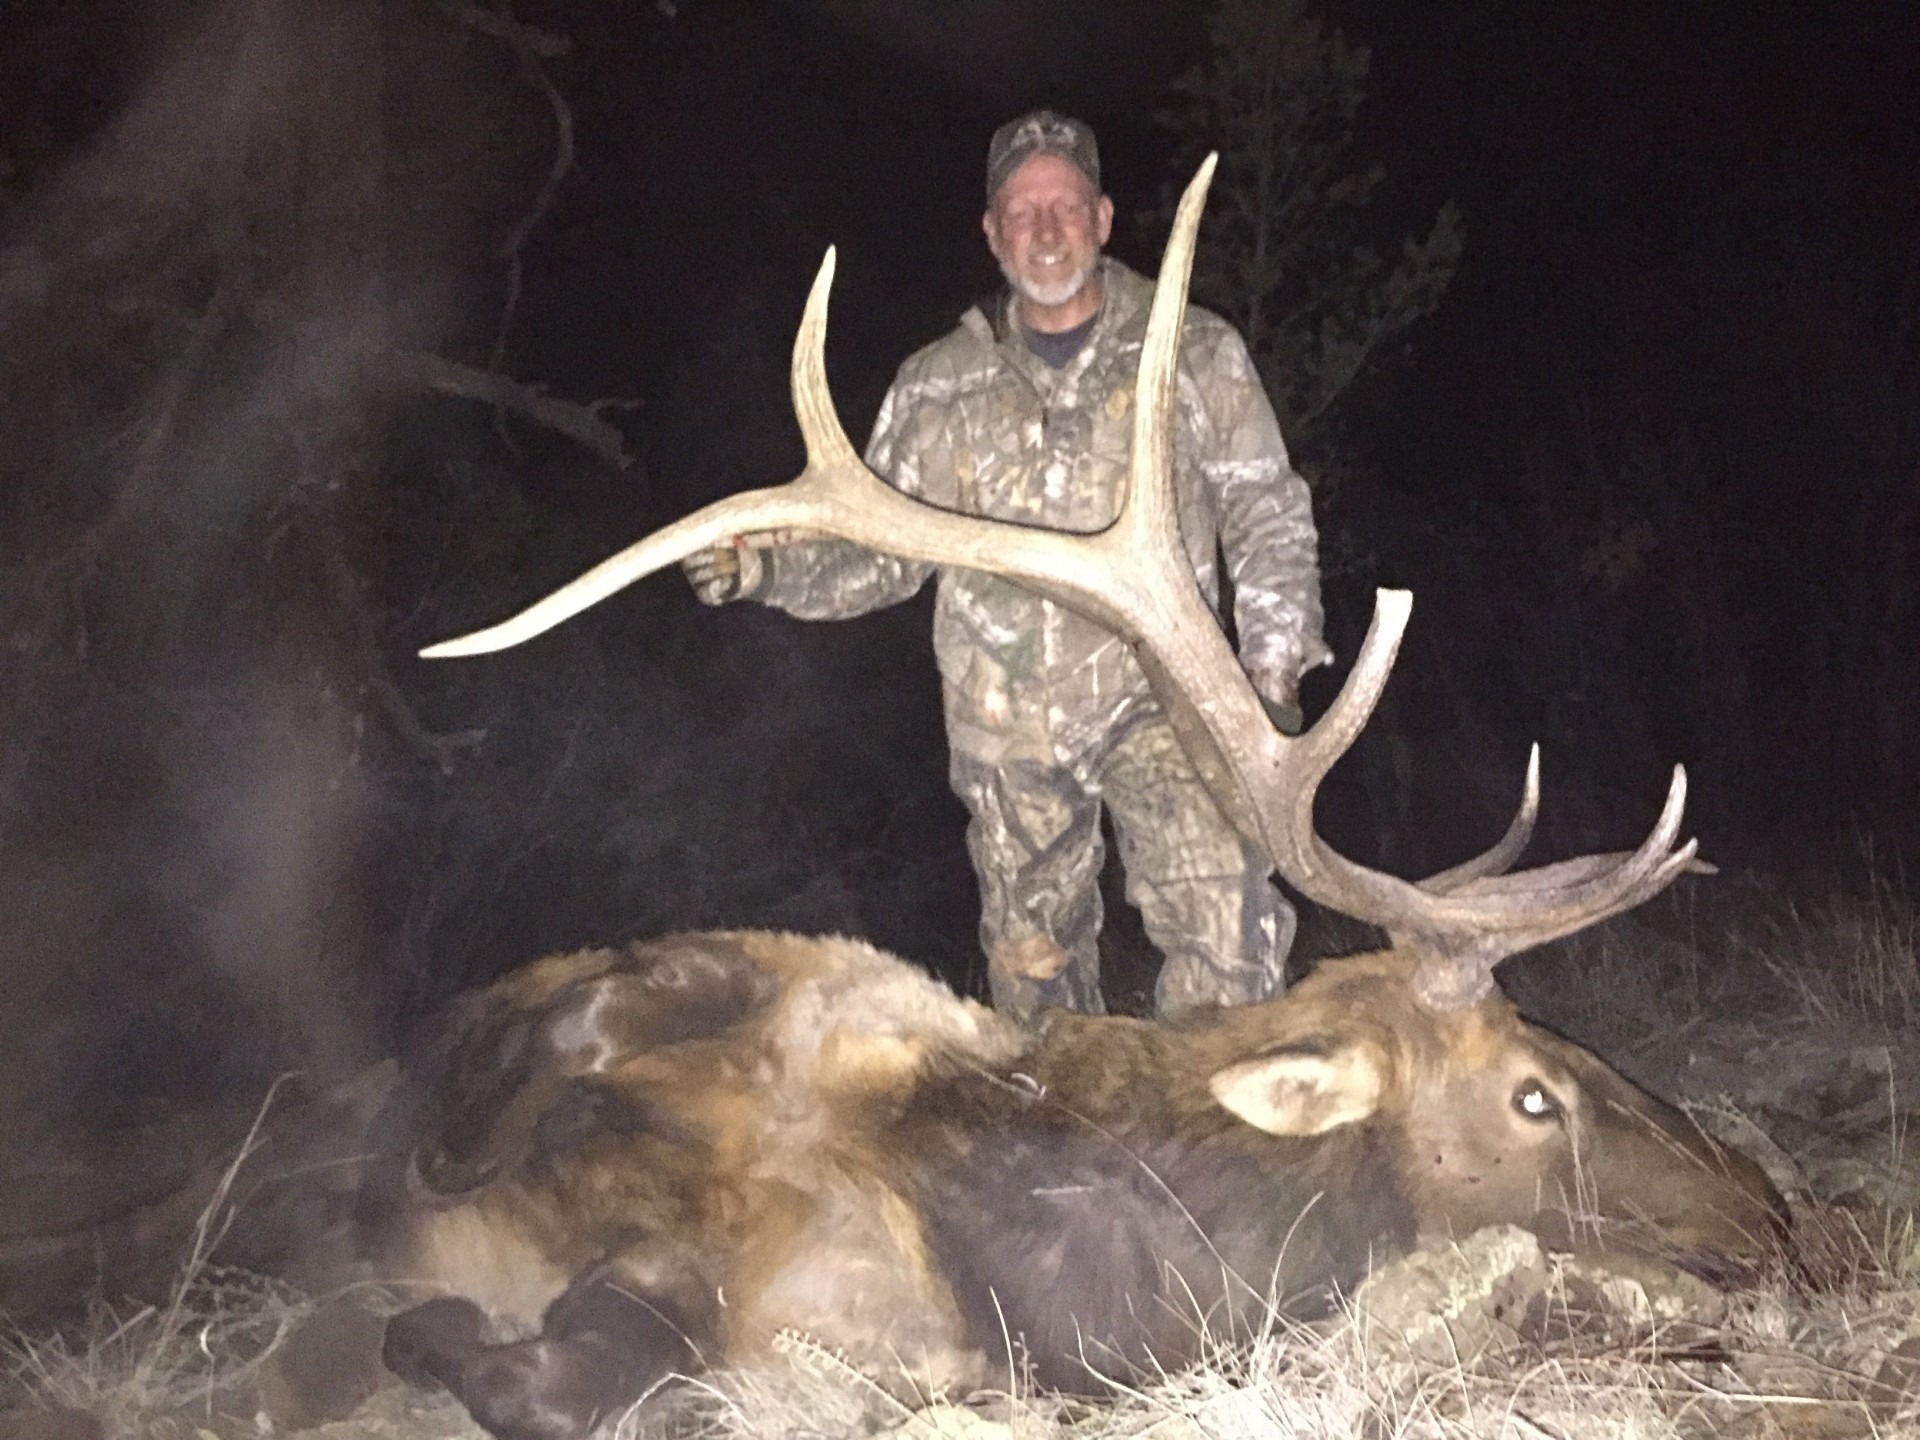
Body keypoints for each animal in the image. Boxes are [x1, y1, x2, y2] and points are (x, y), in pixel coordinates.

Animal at [372, 157, 1787, 1440]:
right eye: (1534, 1093)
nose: (1762, 1200)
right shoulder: (763, 1002)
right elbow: (568, 1073)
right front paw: (442, 1210)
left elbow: (557, 1362)